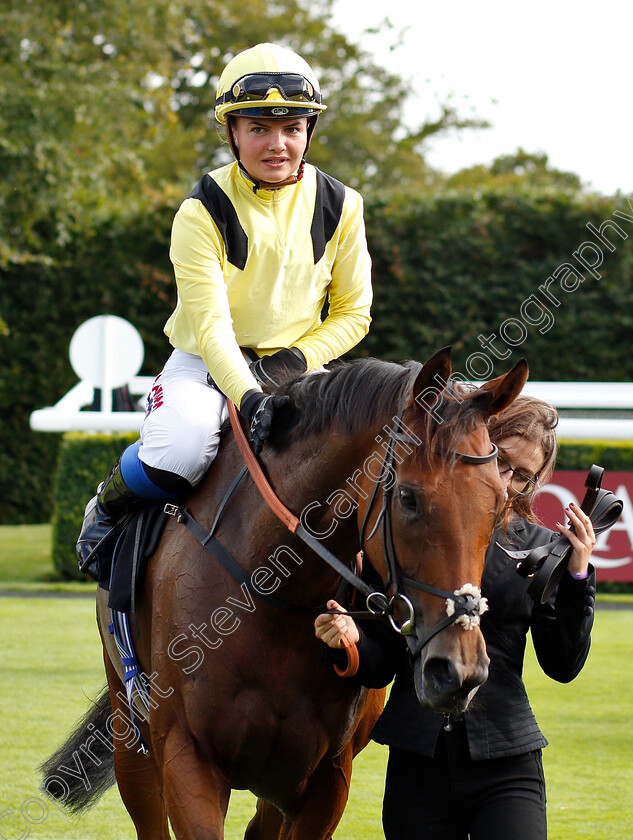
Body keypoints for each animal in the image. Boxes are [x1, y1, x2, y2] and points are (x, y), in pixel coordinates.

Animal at [42, 344, 528, 836]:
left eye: (499, 502)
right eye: (409, 497)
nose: (458, 671)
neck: (269, 594)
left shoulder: (324, 780)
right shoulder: (186, 758)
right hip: (130, 728)